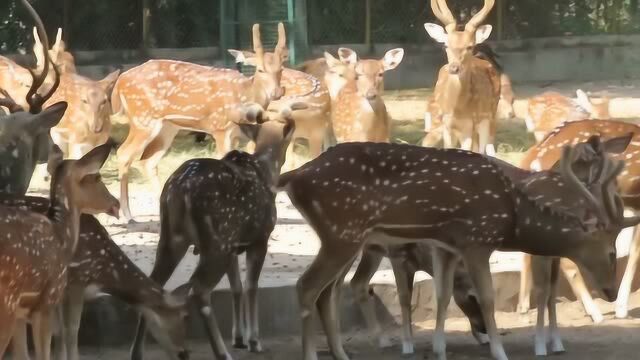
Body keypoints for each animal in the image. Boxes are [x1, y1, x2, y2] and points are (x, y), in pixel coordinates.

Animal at [0, 197, 188, 360]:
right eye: (180, 317)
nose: (184, 353)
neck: (104, 273)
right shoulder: (76, 280)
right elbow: (71, 330)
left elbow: (59, 331)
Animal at [112, 23, 288, 222]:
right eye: (260, 69)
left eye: (281, 68)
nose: (277, 92)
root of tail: (120, 82)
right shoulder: (220, 127)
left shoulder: (240, 134)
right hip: (143, 118)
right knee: (124, 153)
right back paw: (128, 216)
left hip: (167, 127)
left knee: (147, 161)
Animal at [131, 102, 304, 358]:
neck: (265, 170)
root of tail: (179, 191)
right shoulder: (260, 238)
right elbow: (251, 286)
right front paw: (254, 341)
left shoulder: (234, 246)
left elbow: (237, 287)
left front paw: (239, 338)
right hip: (215, 242)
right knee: (200, 290)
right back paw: (222, 352)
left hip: (174, 238)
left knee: (153, 284)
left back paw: (137, 352)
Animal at [278, 136, 640, 358]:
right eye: (611, 251)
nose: (610, 292)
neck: (511, 218)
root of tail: (293, 176)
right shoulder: (476, 240)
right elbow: (489, 297)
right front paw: (499, 351)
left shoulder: (448, 245)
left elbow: (443, 293)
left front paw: (440, 349)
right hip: (343, 233)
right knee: (307, 286)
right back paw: (312, 354)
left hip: (343, 237)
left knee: (326, 290)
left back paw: (340, 353)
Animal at [422, 0, 502, 154]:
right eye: (446, 45)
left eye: (470, 46)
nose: (454, 68)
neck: (457, 110)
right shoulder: (447, 125)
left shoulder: (470, 125)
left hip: (490, 114)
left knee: (487, 145)